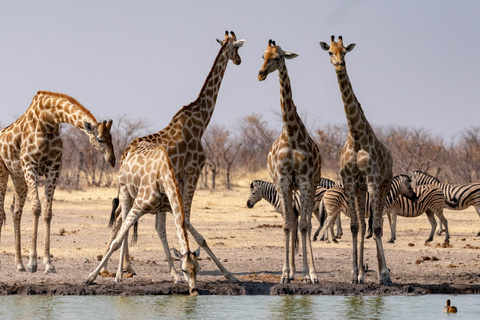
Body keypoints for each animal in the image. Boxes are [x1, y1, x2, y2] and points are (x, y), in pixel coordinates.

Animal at [0, 91, 115, 274]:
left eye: (111, 137)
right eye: (100, 139)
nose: (112, 160)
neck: (48, 121)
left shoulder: (53, 168)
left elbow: (47, 212)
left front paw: (48, 264)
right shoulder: (30, 166)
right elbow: (36, 208)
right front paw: (33, 262)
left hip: (18, 177)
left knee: (16, 211)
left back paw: (19, 264)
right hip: (4, 173)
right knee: (1, 212)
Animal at [84, 142, 201, 296]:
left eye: (198, 269)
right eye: (184, 269)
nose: (194, 290)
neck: (163, 174)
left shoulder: (166, 207)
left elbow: (195, 237)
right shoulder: (139, 205)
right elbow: (116, 242)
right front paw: (90, 277)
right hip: (125, 191)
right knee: (123, 225)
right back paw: (119, 275)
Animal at [101, 30, 244, 282]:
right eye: (236, 48)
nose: (239, 61)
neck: (201, 122)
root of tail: (126, 151)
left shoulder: (182, 177)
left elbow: (180, 221)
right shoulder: (193, 171)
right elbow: (186, 220)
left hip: (131, 187)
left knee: (120, 217)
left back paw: (120, 267)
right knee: (121, 218)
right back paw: (118, 269)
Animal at [256, 39, 320, 282]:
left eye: (278, 57)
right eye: (263, 55)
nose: (261, 74)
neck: (291, 133)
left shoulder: (305, 179)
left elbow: (304, 225)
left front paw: (310, 274)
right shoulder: (283, 180)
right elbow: (287, 225)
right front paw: (285, 273)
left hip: (309, 185)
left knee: (304, 223)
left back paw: (304, 271)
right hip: (288, 187)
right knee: (292, 222)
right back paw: (292, 271)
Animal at [320, 35, 392, 284]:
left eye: (345, 51)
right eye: (330, 52)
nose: (339, 64)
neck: (357, 135)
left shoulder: (372, 180)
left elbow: (376, 228)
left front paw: (383, 275)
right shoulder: (351, 181)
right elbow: (354, 226)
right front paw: (354, 274)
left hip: (383, 184)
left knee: (376, 224)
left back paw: (381, 273)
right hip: (361, 189)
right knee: (362, 224)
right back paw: (361, 272)